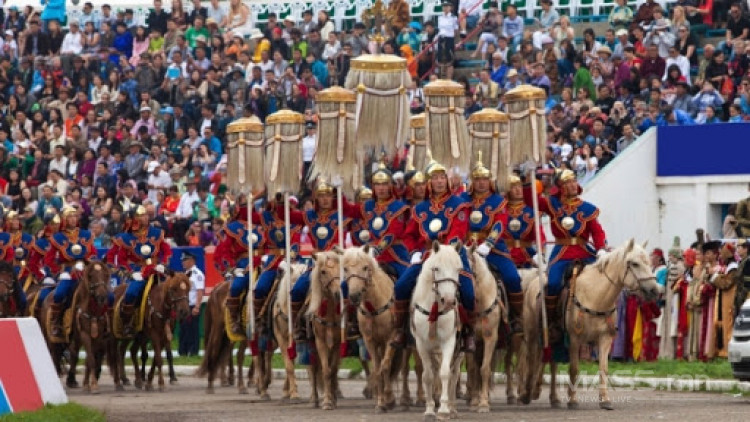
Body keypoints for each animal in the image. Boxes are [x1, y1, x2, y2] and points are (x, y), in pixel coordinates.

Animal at [306, 251, 346, 408]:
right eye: (323, 271)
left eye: (341, 269)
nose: (338, 293)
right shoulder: (320, 342)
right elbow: (325, 370)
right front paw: (327, 401)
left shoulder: (336, 343)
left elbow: (333, 370)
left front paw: (332, 399)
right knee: (313, 369)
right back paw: (314, 399)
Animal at [414, 242, 468, 420]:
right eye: (436, 268)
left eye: (458, 269)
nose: (450, 301)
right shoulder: (421, 344)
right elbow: (428, 375)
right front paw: (430, 409)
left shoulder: (449, 342)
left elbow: (446, 373)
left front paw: (444, 409)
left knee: (454, 373)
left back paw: (452, 407)